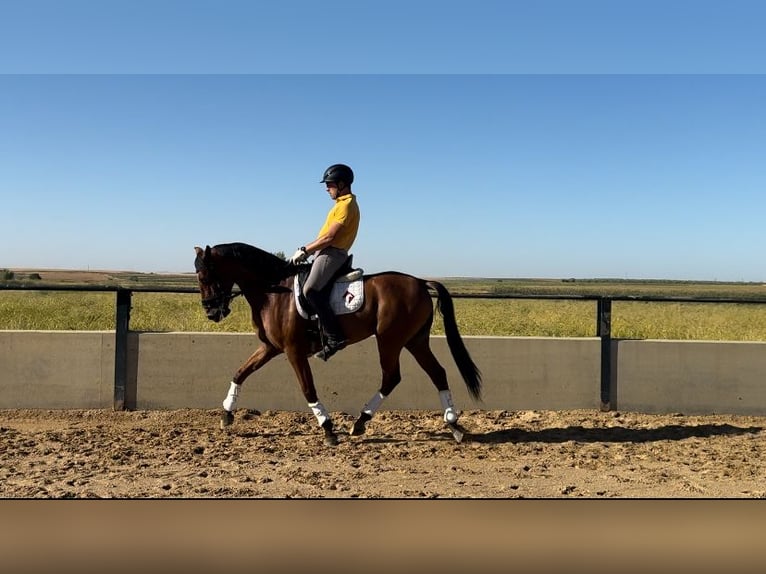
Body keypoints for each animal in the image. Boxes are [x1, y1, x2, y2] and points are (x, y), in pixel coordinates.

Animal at [193, 242, 482, 445]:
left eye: (205, 277)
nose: (211, 312)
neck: (274, 292)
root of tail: (421, 282)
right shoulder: (270, 348)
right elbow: (240, 373)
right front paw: (226, 414)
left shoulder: (293, 351)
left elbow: (308, 389)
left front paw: (328, 429)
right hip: (415, 341)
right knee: (437, 373)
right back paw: (452, 424)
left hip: (390, 340)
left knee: (392, 377)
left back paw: (362, 421)